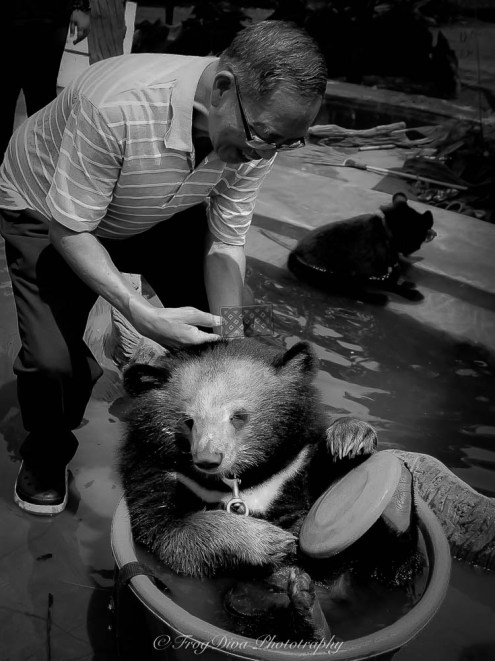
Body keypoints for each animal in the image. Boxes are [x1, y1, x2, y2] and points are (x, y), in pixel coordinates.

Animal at [287, 192, 436, 305]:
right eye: (425, 234)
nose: (434, 234)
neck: (386, 233)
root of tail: (294, 255)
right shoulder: (369, 274)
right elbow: (390, 284)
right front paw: (410, 293)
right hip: (338, 277)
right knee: (354, 292)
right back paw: (378, 299)